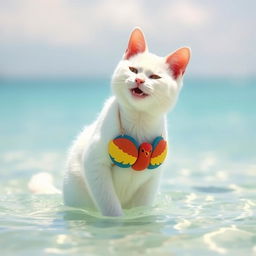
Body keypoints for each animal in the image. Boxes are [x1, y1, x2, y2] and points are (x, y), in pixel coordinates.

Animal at [62, 28, 190, 216]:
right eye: (133, 69)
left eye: (155, 76)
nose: (139, 80)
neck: (138, 119)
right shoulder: (95, 165)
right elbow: (110, 205)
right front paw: (117, 220)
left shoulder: (151, 181)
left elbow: (142, 207)